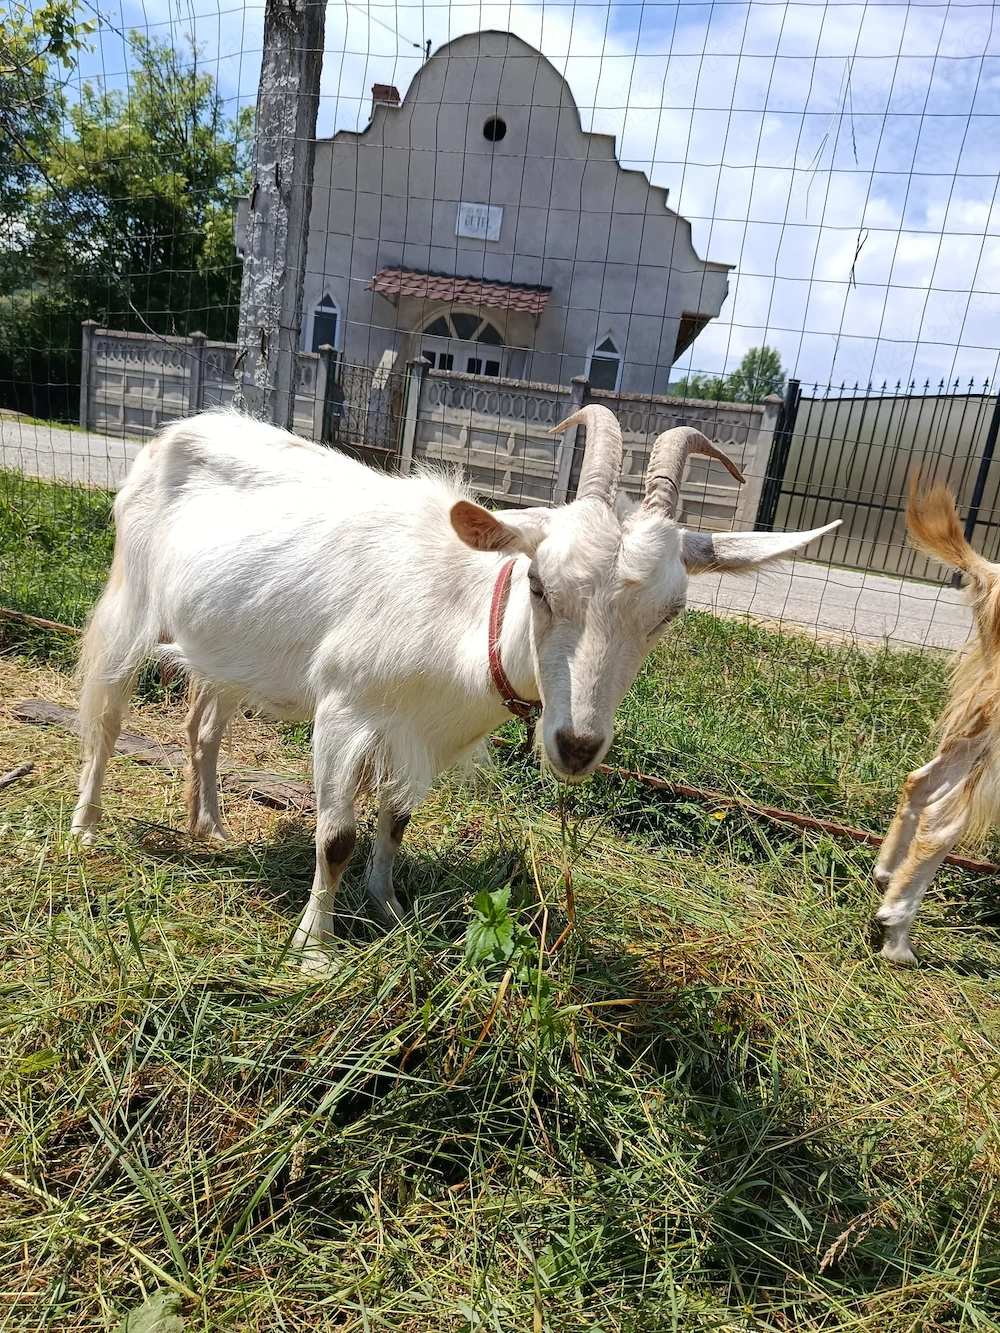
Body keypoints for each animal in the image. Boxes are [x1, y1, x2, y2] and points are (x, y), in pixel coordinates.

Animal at [72, 406, 837, 969]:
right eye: (539, 583)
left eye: (670, 613)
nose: (577, 744)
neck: (465, 618)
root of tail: (171, 432)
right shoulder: (345, 711)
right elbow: (337, 837)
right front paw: (314, 952)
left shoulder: (423, 736)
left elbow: (397, 822)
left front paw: (389, 909)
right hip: (134, 596)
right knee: (107, 711)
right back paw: (86, 827)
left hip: (232, 646)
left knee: (203, 722)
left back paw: (211, 825)